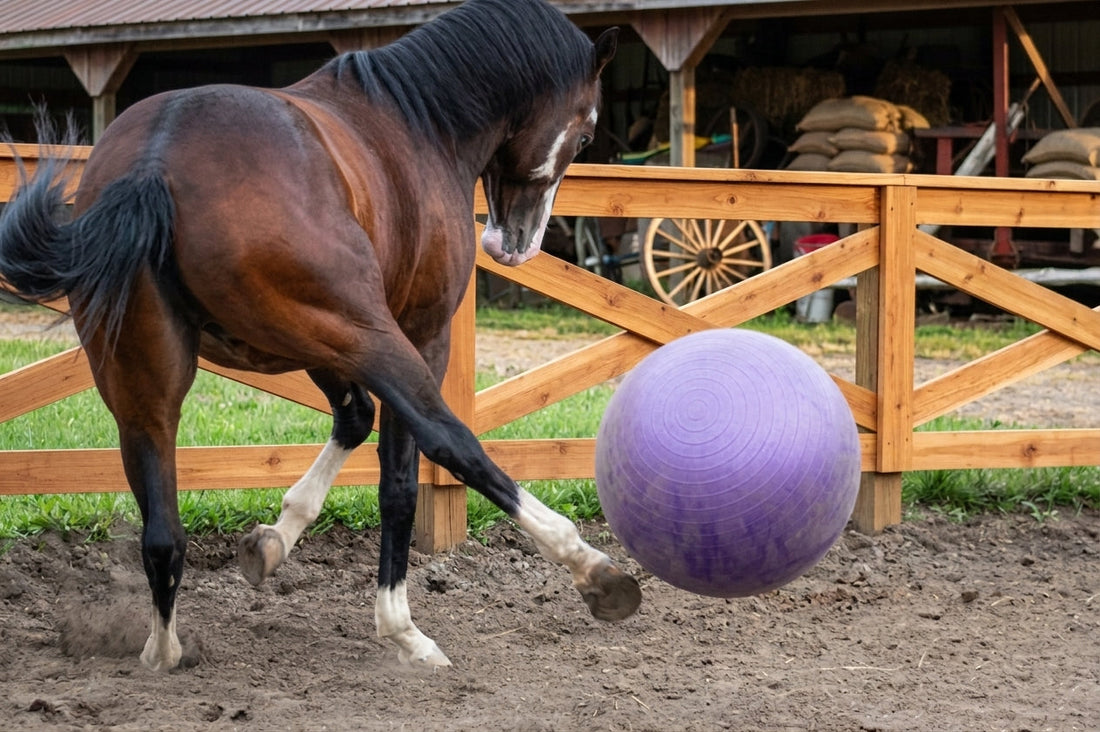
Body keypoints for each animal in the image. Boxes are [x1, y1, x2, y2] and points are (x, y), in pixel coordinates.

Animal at [0, 0, 638, 671]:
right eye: (587, 134)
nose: (514, 244)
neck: (417, 124)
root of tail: (155, 159)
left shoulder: (305, 344)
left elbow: (353, 419)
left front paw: (270, 544)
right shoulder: (410, 332)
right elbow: (400, 476)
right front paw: (394, 622)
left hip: (147, 381)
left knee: (162, 533)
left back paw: (162, 651)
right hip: (363, 335)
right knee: (449, 442)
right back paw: (585, 574)